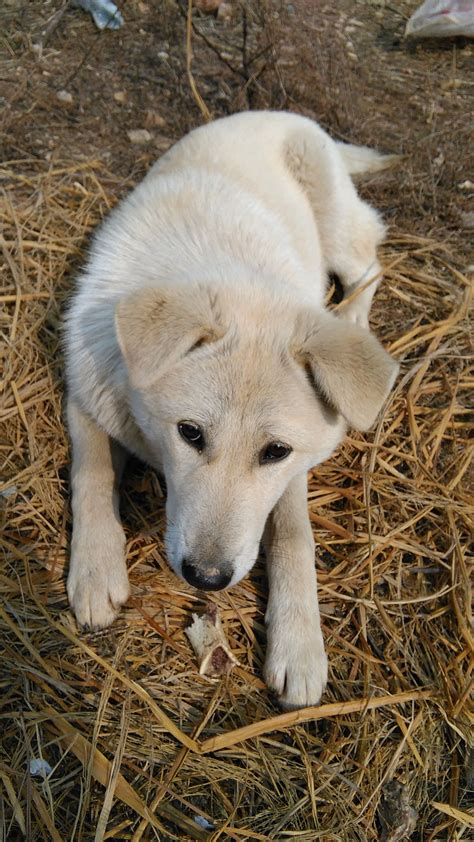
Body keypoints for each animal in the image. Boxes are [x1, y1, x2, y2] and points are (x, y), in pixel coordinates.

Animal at [64, 108, 396, 704]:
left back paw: (352, 319)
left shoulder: (294, 471)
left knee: (367, 263)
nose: (207, 578)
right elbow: (93, 472)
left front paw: (299, 645)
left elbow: (294, 537)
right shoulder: (85, 388)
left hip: (334, 226)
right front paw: (97, 567)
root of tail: (275, 112)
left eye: (275, 451)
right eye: (190, 433)